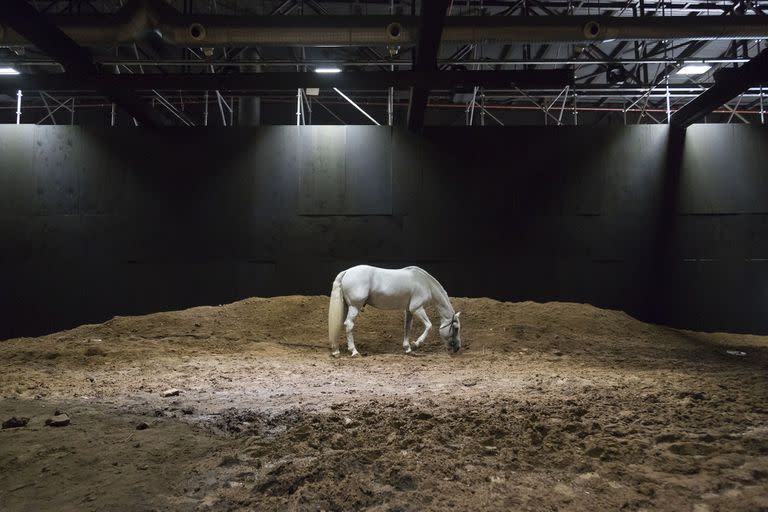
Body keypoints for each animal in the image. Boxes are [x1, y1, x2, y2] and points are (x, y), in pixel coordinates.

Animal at [326, 264, 460, 356]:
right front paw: (416, 344)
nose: (457, 348)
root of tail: (347, 271)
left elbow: (407, 328)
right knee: (349, 325)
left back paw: (336, 350)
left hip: (346, 307)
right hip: (354, 307)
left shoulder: (409, 311)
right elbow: (429, 326)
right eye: (456, 328)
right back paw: (354, 351)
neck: (424, 283)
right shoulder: (417, 309)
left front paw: (408, 348)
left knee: (339, 324)